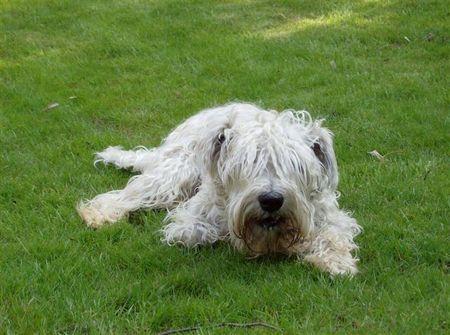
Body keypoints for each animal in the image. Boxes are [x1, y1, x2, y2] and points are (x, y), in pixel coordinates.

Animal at [77, 103, 360, 276]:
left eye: (295, 166)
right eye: (247, 164)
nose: (271, 200)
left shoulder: (331, 216)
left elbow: (332, 235)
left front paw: (334, 260)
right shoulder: (189, 221)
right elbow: (203, 232)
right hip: (174, 174)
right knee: (126, 195)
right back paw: (98, 213)